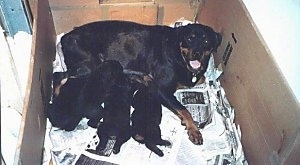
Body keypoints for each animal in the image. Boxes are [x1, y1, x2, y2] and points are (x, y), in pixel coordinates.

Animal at [60, 21, 223, 144]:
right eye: (190, 38)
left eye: (206, 41)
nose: (197, 52)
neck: (178, 54)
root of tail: (65, 37)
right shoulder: (161, 89)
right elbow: (184, 109)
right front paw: (194, 130)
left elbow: (200, 79)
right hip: (89, 65)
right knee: (61, 78)